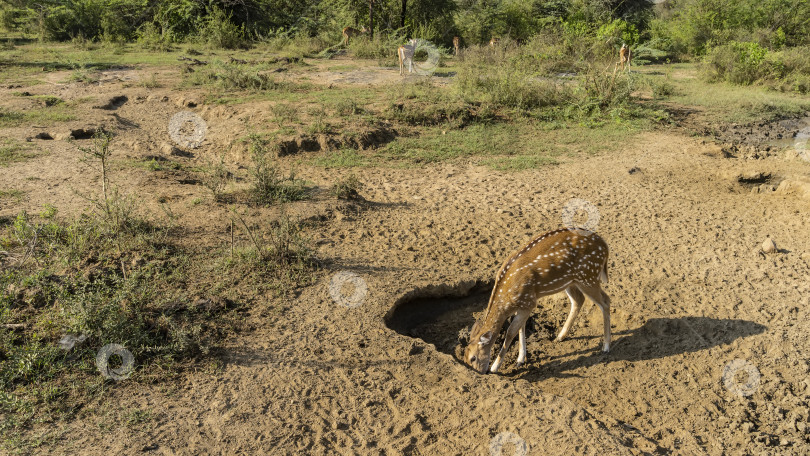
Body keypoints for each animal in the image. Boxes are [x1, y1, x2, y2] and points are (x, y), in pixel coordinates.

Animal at [460, 228, 608, 374]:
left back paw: (606, 347)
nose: (480, 373)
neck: (507, 302)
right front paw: (520, 359)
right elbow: (521, 328)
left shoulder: (529, 301)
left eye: (473, 358)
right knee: (579, 299)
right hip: (571, 281)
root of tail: (605, 247)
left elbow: (511, 332)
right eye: (465, 358)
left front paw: (495, 367)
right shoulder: (524, 305)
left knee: (605, 301)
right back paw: (560, 336)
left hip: (588, 276)